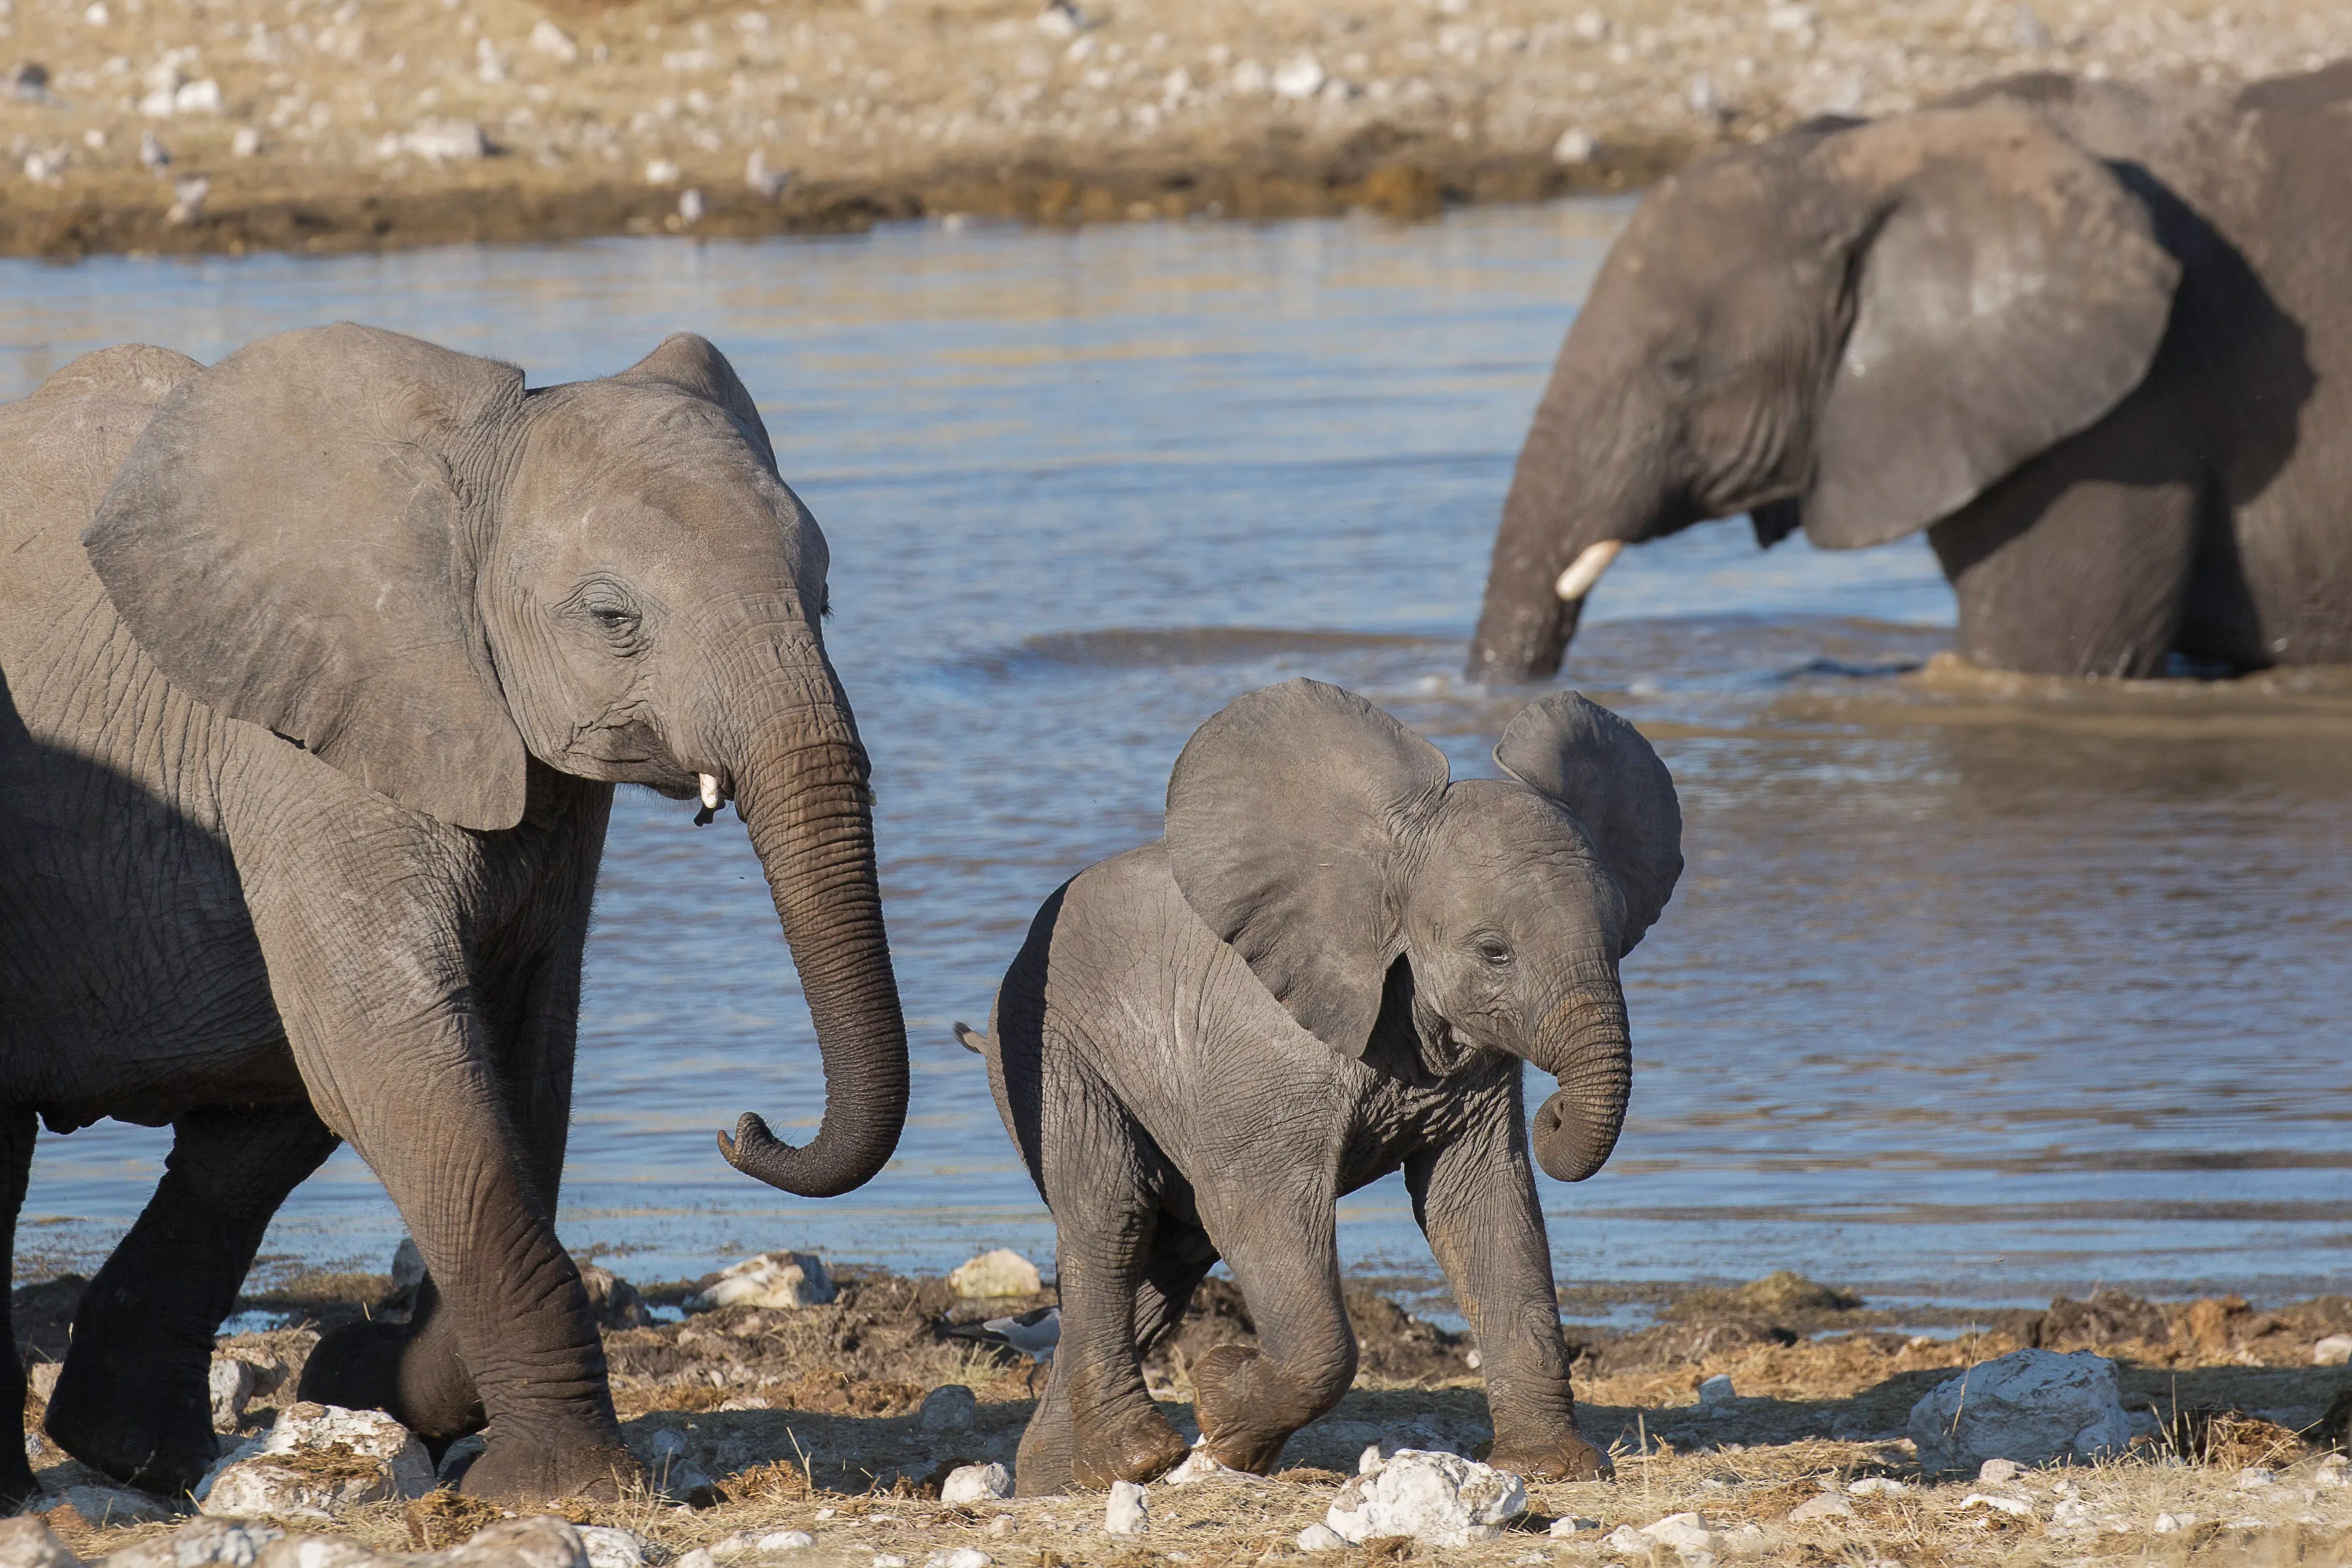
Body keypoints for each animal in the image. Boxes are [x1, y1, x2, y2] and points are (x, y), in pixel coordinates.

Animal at [0, 325, 908, 1505]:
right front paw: (564, 1486)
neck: (467, 470)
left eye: (825, 599)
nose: (743, 1125)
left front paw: (374, 1377)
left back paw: (130, 1453)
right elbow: (393, 1051)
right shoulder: (303, 735)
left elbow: (522, 1059)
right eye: (612, 619)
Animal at [958, 678, 1683, 1494]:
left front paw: (1554, 1467)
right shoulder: (1261, 1052)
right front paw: (1221, 1403)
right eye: (1494, 952)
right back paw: (1135, 1457)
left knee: (1167, 1255)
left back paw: (1056, 1479)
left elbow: (1484, 1207)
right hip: (1051, 1049)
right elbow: (1264, 1210)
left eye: (1618, 938)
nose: (1554, 1111)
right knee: (1111, 1218)